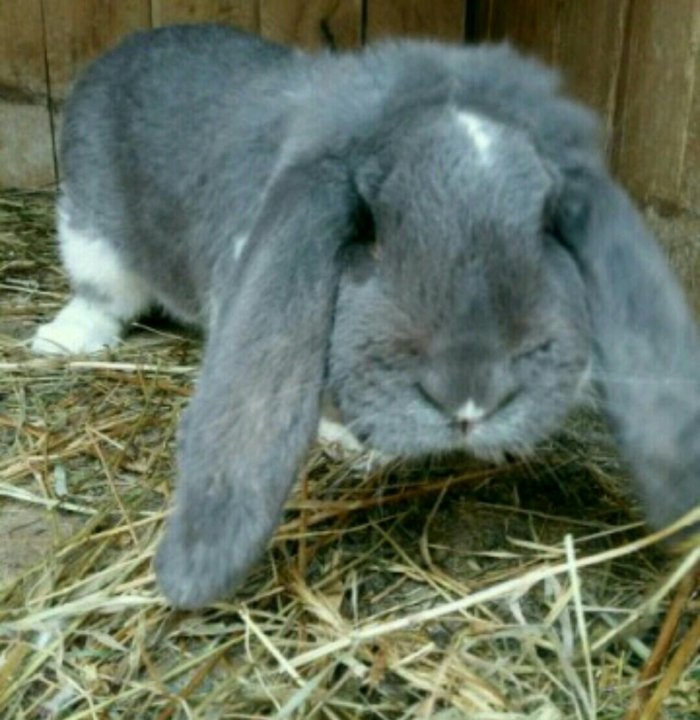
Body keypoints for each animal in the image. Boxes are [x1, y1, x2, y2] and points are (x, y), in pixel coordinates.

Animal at [31, 24, 700, 608]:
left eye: (547, 225)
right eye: (370, 229)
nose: (471, 396)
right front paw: (352, 444)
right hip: (91, 233)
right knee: (99, 297)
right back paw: (59, 342)